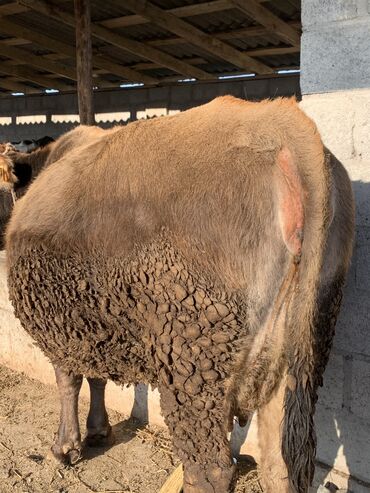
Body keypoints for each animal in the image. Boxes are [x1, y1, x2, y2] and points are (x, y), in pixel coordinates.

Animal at [5, 97, 352, 492]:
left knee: (212, 469)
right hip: (302, 355)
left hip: (192, 359)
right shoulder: (94, 321)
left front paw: (67, 446)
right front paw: (98, 431)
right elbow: (96, 377)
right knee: (285, 465)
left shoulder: (62, 323)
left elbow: (70, 380)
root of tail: (282, 125)